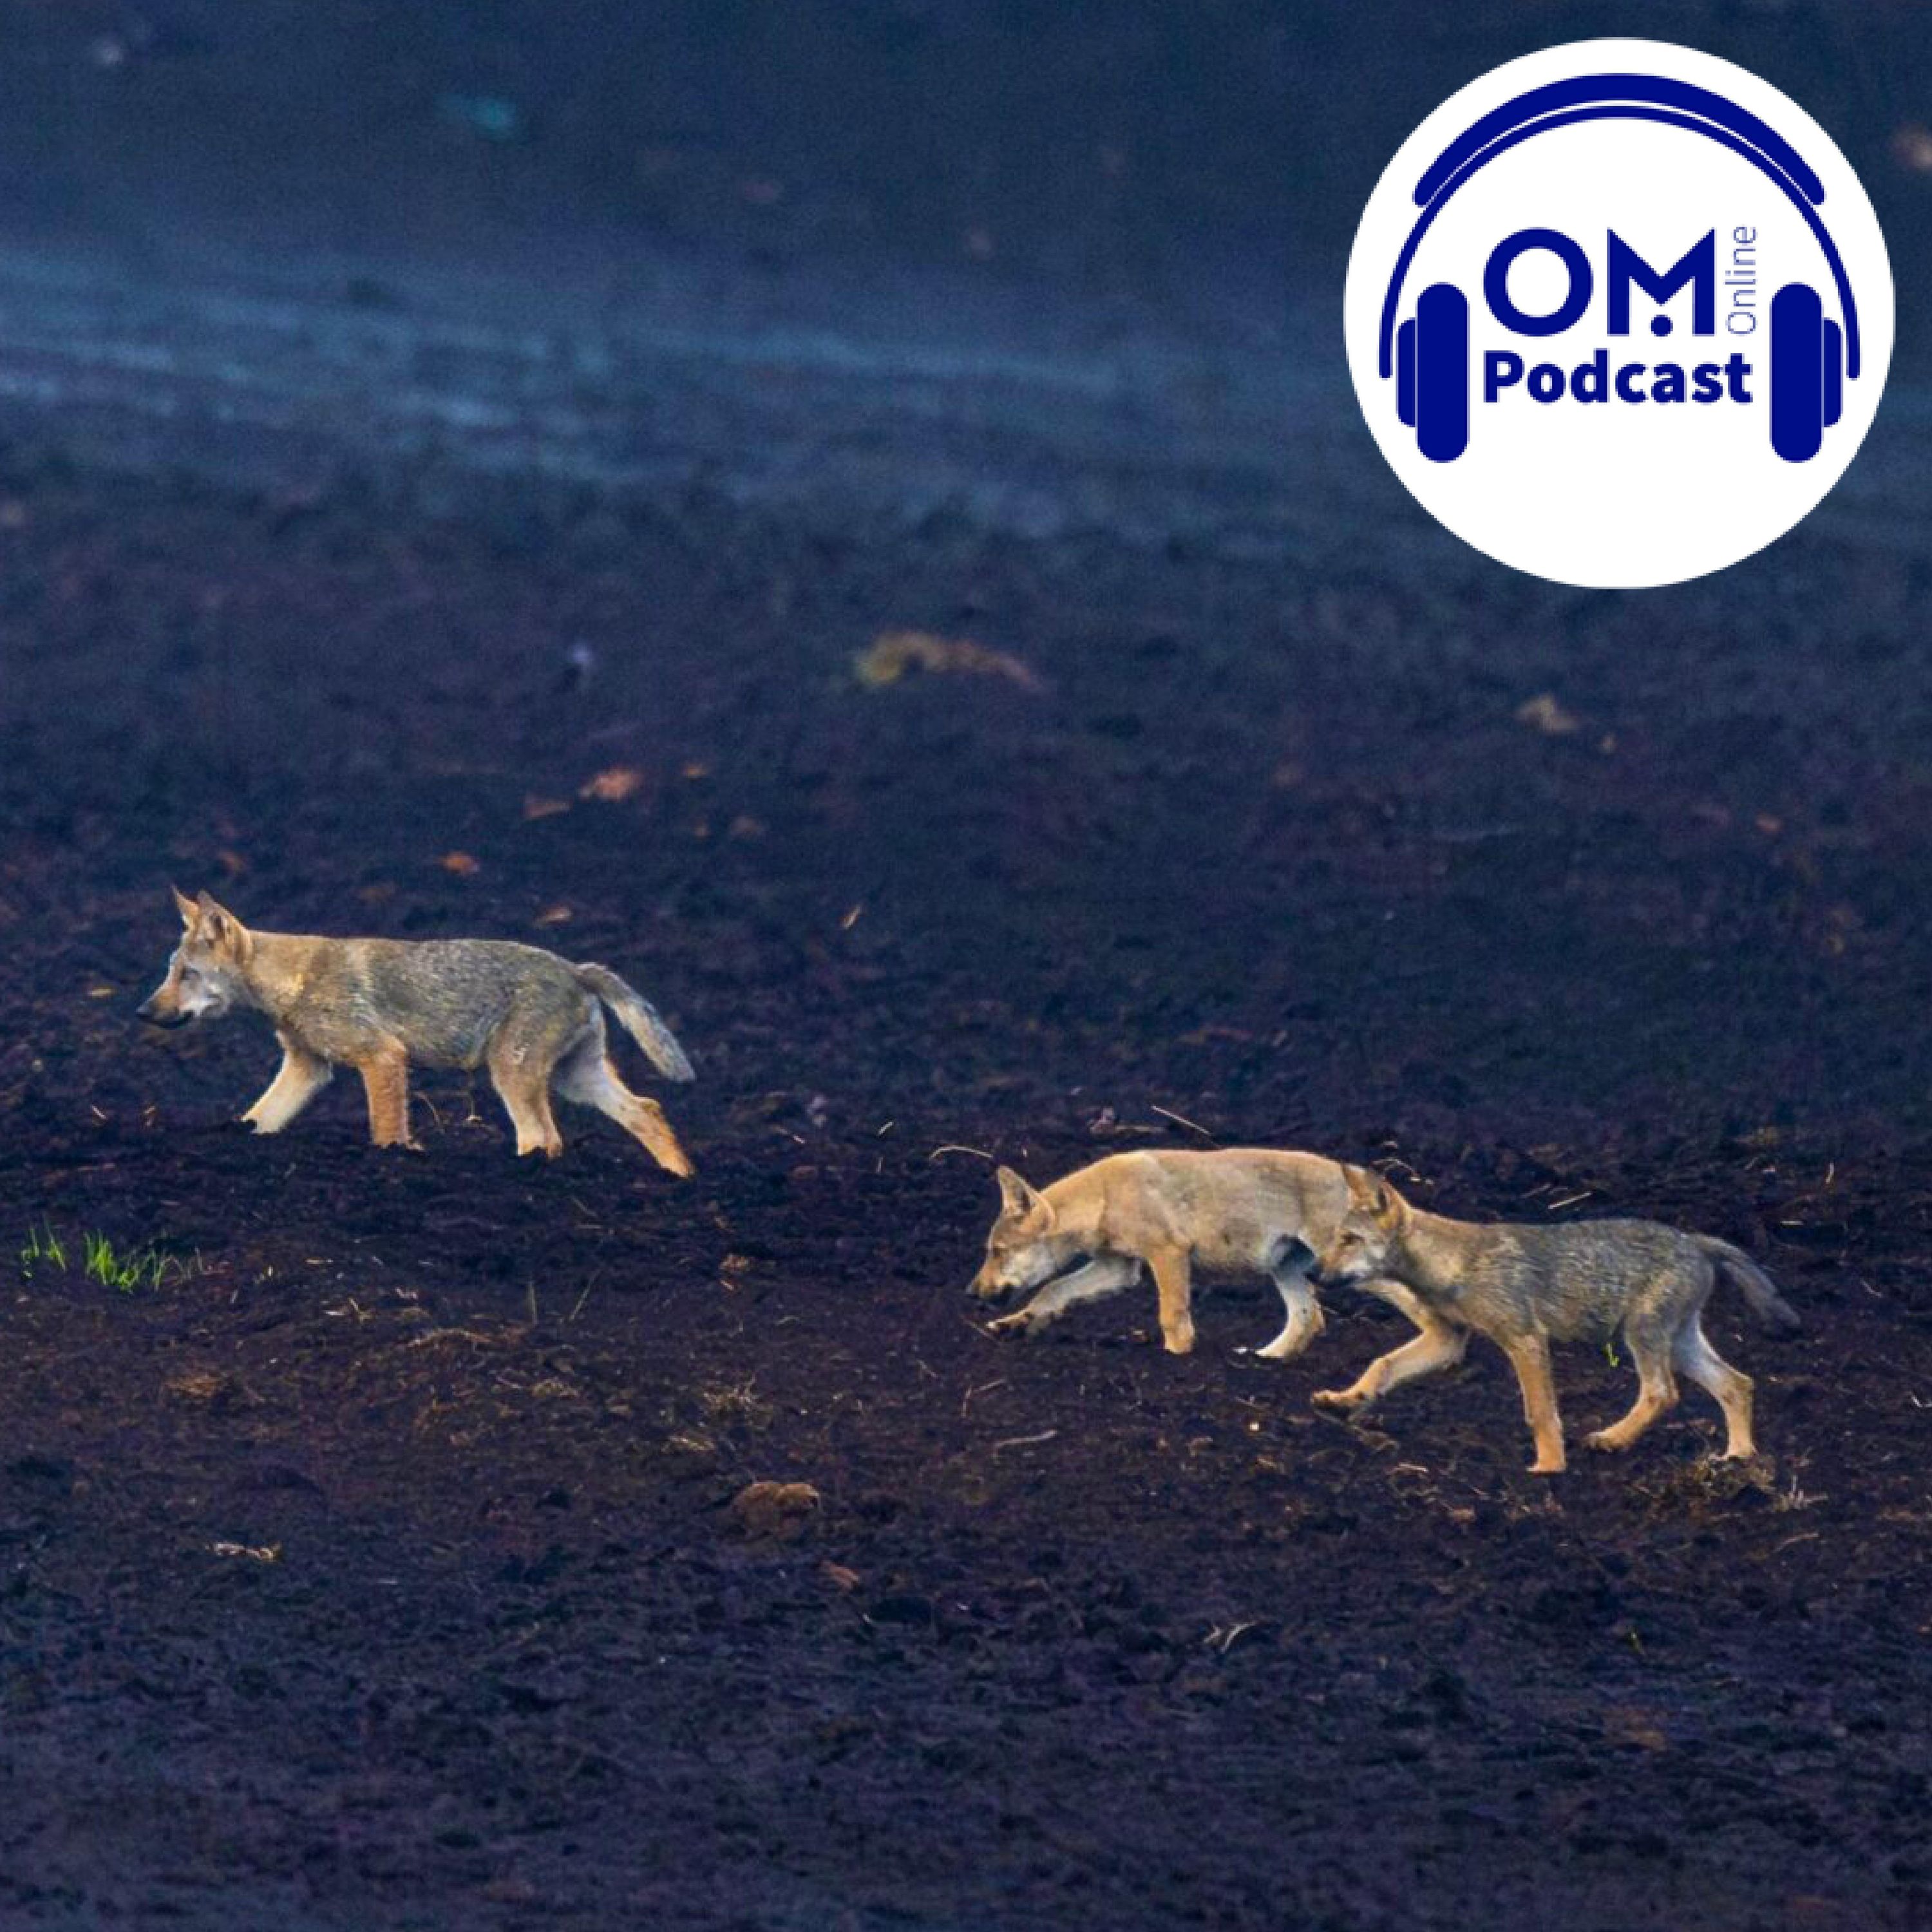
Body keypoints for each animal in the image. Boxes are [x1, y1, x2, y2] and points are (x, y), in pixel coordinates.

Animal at [138, 889, 696, 1172]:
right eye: (171, 971)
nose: (144, 1012)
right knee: (647, 1110)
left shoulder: (382, 1057)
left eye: (186, 975)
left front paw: (393, 1164)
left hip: (513, 1078)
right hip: (574, 1081)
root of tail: (577, 969)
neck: (290, 981)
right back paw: (679, 1181)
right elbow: (257, 1117)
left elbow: (386, 1132)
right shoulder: (307, 1069)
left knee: (545, 1139)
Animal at [966, 1148, 1424, 1359]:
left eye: (997, 1251)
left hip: (1356, 1273)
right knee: (1309, 1319)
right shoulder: (1119, 1269)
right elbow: (1052, 1293)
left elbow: (1173, 1318)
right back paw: (1266, 1360)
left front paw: (1176, 1359)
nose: (971, 1293)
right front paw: (1016, 1324)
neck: (1104, 1197)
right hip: (1285, 1270)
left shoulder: (1168, 1254)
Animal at [1306, 1165, 1801, 1473]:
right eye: (1336, 1239)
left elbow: (1541, 1412)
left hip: (1642, 1337)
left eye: (1350, 1240)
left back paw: (1612, 1439)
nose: (1311, 1273)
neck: (1450, 1264)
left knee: (1664, 1392)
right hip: (1678, 1344)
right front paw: (1347, 1399)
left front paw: (1547, 1469)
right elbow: (1382, 1365)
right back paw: (1737, 1459)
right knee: (1738, 1383)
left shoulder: (1524, 1339)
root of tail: (1695, 1240)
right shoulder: (1448, 1340)